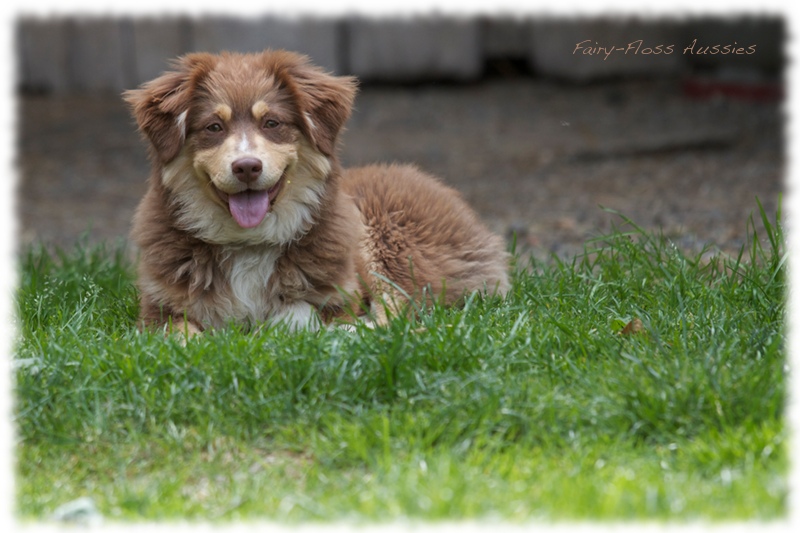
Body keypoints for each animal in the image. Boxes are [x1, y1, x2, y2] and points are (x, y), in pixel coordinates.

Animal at [126, 48, 512, 332]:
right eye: (213, 127)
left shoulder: (338, 297)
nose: (247, 166)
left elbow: (302, 316)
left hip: (382, 240)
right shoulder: (159, 310)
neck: (248, 244)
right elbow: (181, 335)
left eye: (272, 123)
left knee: (398, 311)